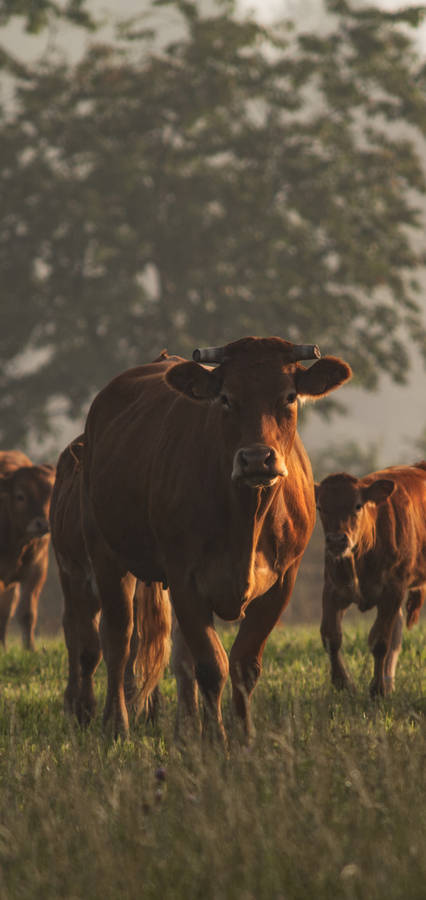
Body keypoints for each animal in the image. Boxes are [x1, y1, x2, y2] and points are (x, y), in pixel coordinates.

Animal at [0, 450, 55, 650]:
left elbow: (26, 612)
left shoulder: (36, 569)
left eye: (51, 495)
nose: (43, 523)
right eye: (20, 496)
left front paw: (30, 648)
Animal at [50, 437, 171, 724]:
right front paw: (85, 708)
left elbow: (137, 640)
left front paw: (144, 705)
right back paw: (71, 700)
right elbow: (90, 648)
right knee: (71, 628)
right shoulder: (82, 578)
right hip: (65, 569)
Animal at [80, 336, 351, 742]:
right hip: (106, 552)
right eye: (226, 397)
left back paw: (186, 727)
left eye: (289, 396)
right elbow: (211, 664)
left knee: (179, 657)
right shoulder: (185, 578)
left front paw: (244, 737)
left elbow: (243, 665)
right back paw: (117, 724)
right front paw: (217, 740)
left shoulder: (282, 582)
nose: (257, 459)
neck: (246, 517)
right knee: (118, 639)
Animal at [315, 462, 426, 697]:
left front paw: (377, 690)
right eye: (320, 507)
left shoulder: (393, 590)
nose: (337, 540)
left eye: (357, 506)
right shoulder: (332, 589)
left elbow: (380, 642)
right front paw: (343, 683)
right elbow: (331, 637)